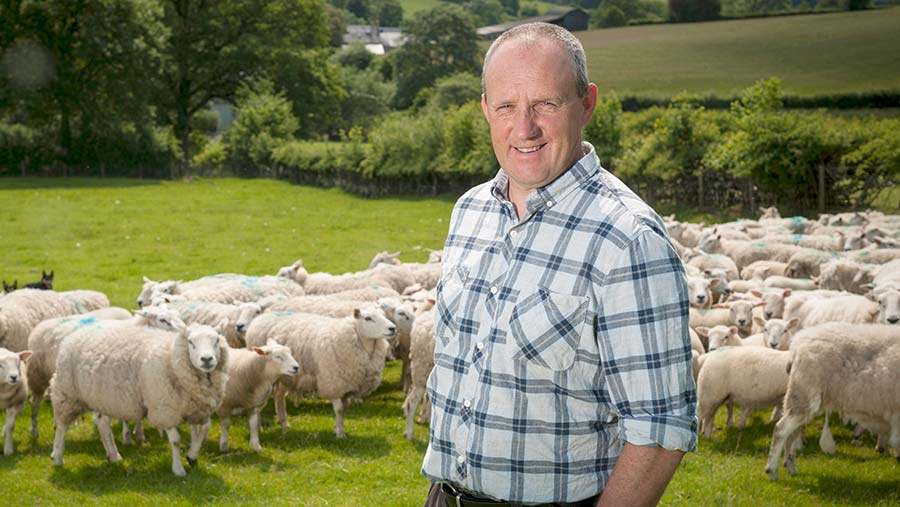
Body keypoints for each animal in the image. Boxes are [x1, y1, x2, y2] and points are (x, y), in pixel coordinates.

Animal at [50, 322, 229, 476]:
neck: (171, 358)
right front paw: (178, 469)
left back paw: (113, 455)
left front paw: (192, 456)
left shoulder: (196, 409)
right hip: (67, 394)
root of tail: (72, 337)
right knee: (62, 426)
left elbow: (205, 429)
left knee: (102, 423)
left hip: (102, 398)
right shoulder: (164, 409)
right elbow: (176, 441)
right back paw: (57, 456)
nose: (207, 359)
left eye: (217, 340)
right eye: (191, 342)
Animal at [246, 308, 400, 438]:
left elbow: (344, 410)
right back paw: (260, 426)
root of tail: (262, 316)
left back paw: (284, 423)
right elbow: (339, 409)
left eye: (384, 315)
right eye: (368, 318)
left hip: (285, 376)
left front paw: (340, 428)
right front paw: (340, 435)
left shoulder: (347, 387)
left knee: (279, 396)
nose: (393, 328)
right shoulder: (333, 384)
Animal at [764, 326, 900, 480]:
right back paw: (772, 470)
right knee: (781, 429)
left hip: (804, 397)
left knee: (792, 433)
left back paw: (791, 467)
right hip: (804, 392)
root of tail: (797, 344)